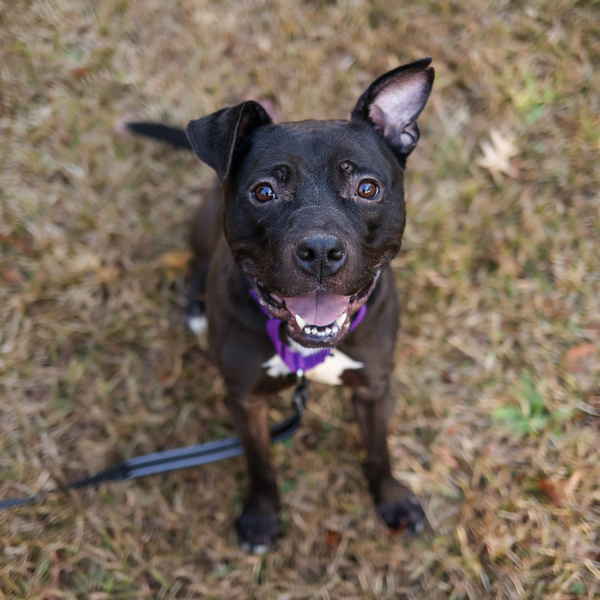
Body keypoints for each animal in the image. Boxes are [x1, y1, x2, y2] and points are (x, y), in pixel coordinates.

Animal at [127, 58, 436, 552]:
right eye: (264, 192)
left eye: (367, 188)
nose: (321, 250)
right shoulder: (245, 399)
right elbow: (260, 463)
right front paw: (260, 515)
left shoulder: (373, 388)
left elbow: (378, 451)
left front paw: (391, 500)